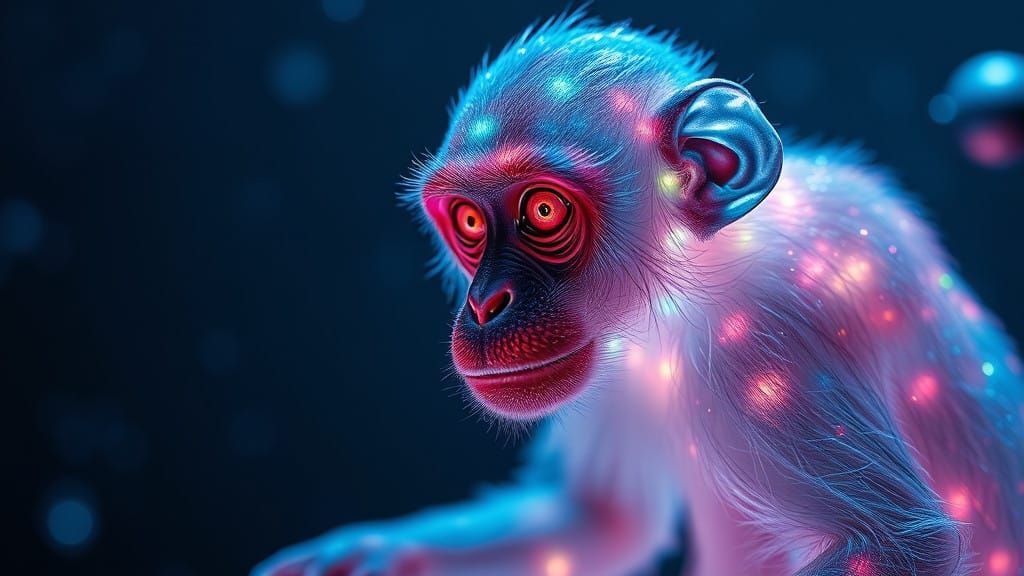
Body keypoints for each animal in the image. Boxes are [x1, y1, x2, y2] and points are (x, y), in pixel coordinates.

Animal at [254, 11, 1024, 576]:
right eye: (469, 222)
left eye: (543, 211)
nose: (485, 303)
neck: (703, 272)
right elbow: (600, 520)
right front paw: (373, 552)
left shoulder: (770, 340)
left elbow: (893, 544)